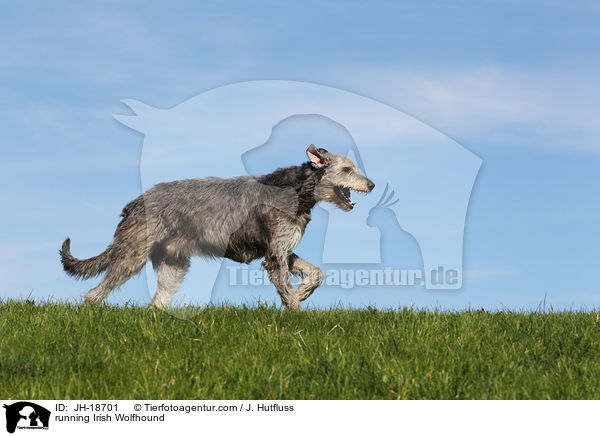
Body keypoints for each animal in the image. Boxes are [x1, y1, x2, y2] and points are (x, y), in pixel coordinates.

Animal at [59, 146, 370, 310]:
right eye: (347, 169)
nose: (372, 184)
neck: (295, 190)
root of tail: (135, 203)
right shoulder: (274, 254)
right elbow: (288, 292)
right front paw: (299, 313)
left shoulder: (282, 249)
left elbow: (317, 273)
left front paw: (304, 290)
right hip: (132, 254)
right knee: (95, 292)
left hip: (173, 265)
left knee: (157, 303)